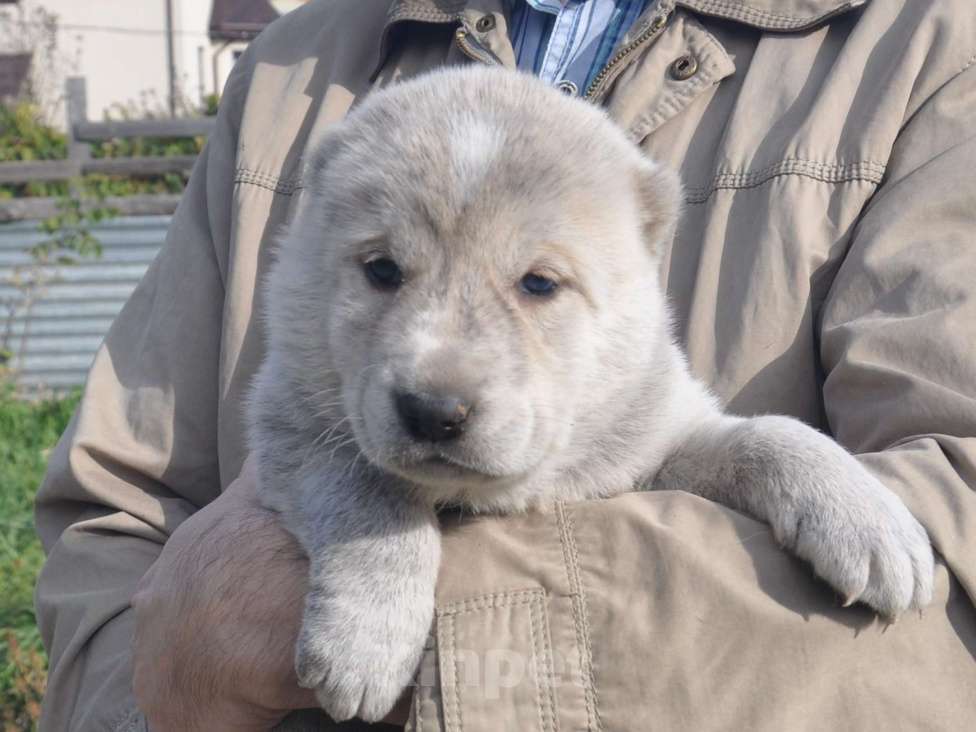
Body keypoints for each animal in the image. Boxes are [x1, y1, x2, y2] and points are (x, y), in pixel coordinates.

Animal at [248, 66, 936, 724]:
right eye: (383, 270)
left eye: (539, 283)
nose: (433, 411)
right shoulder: (289, 423)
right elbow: (369, 496)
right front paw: (363, 645)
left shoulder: (654, 446)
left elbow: (766, 435)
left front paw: (869, 521)